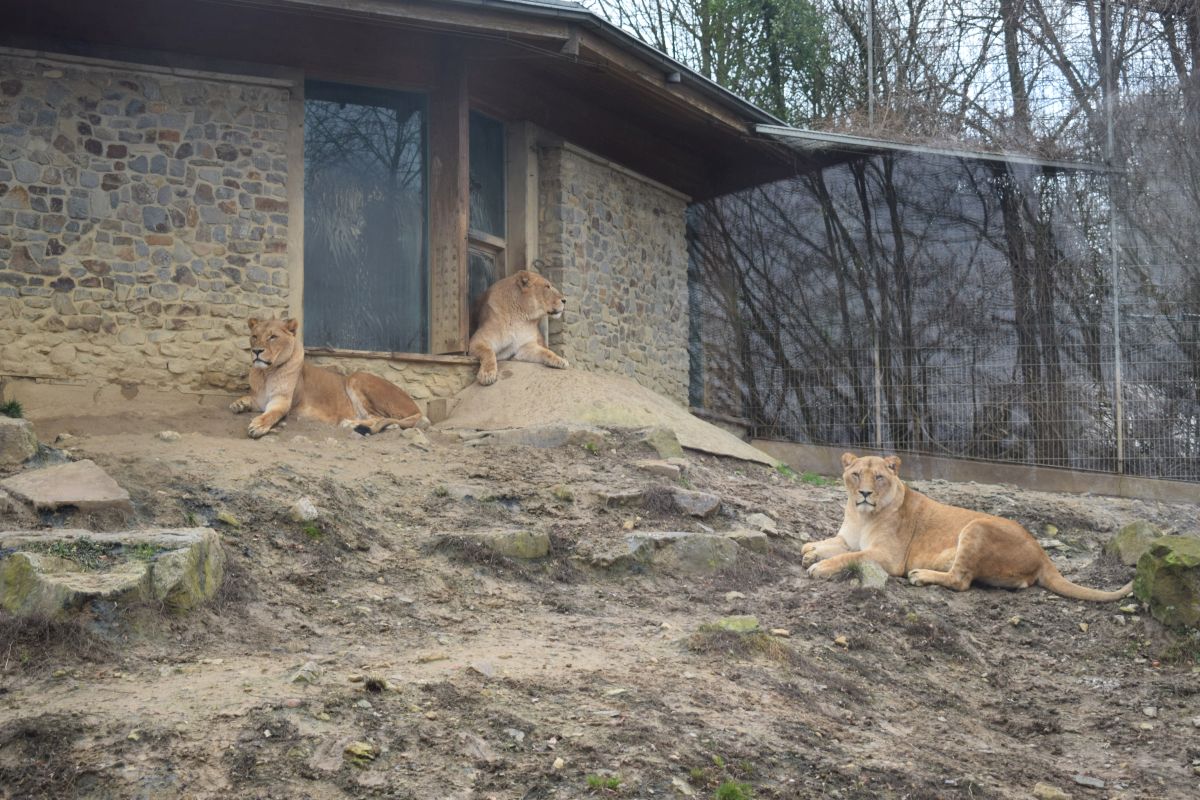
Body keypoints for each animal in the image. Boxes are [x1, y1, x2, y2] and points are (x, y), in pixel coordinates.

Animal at [230, 317, 425, 438]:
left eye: (272, 337)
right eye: (254, 336)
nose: (256, 351)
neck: (266, 373)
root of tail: (417, 407)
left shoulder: (282, 401)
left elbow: (271, 414)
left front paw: (258, 426)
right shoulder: (260, 399)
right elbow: (248, 398)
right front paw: (238, 404)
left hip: (357, 377)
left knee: (377, 417)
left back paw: (350, 424)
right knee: (390, 422)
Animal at [801, 453, 1133, 602]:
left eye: (879, 477)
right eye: (856, 474)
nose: (865, 493)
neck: (862, 515)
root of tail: (1043, 554)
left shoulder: (888, 557)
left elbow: (850, 557)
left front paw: (819, 566)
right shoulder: (847, 538)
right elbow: (829, 545)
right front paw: (810, 551)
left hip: (976, 527)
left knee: (960, 580)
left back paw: (921, 576)